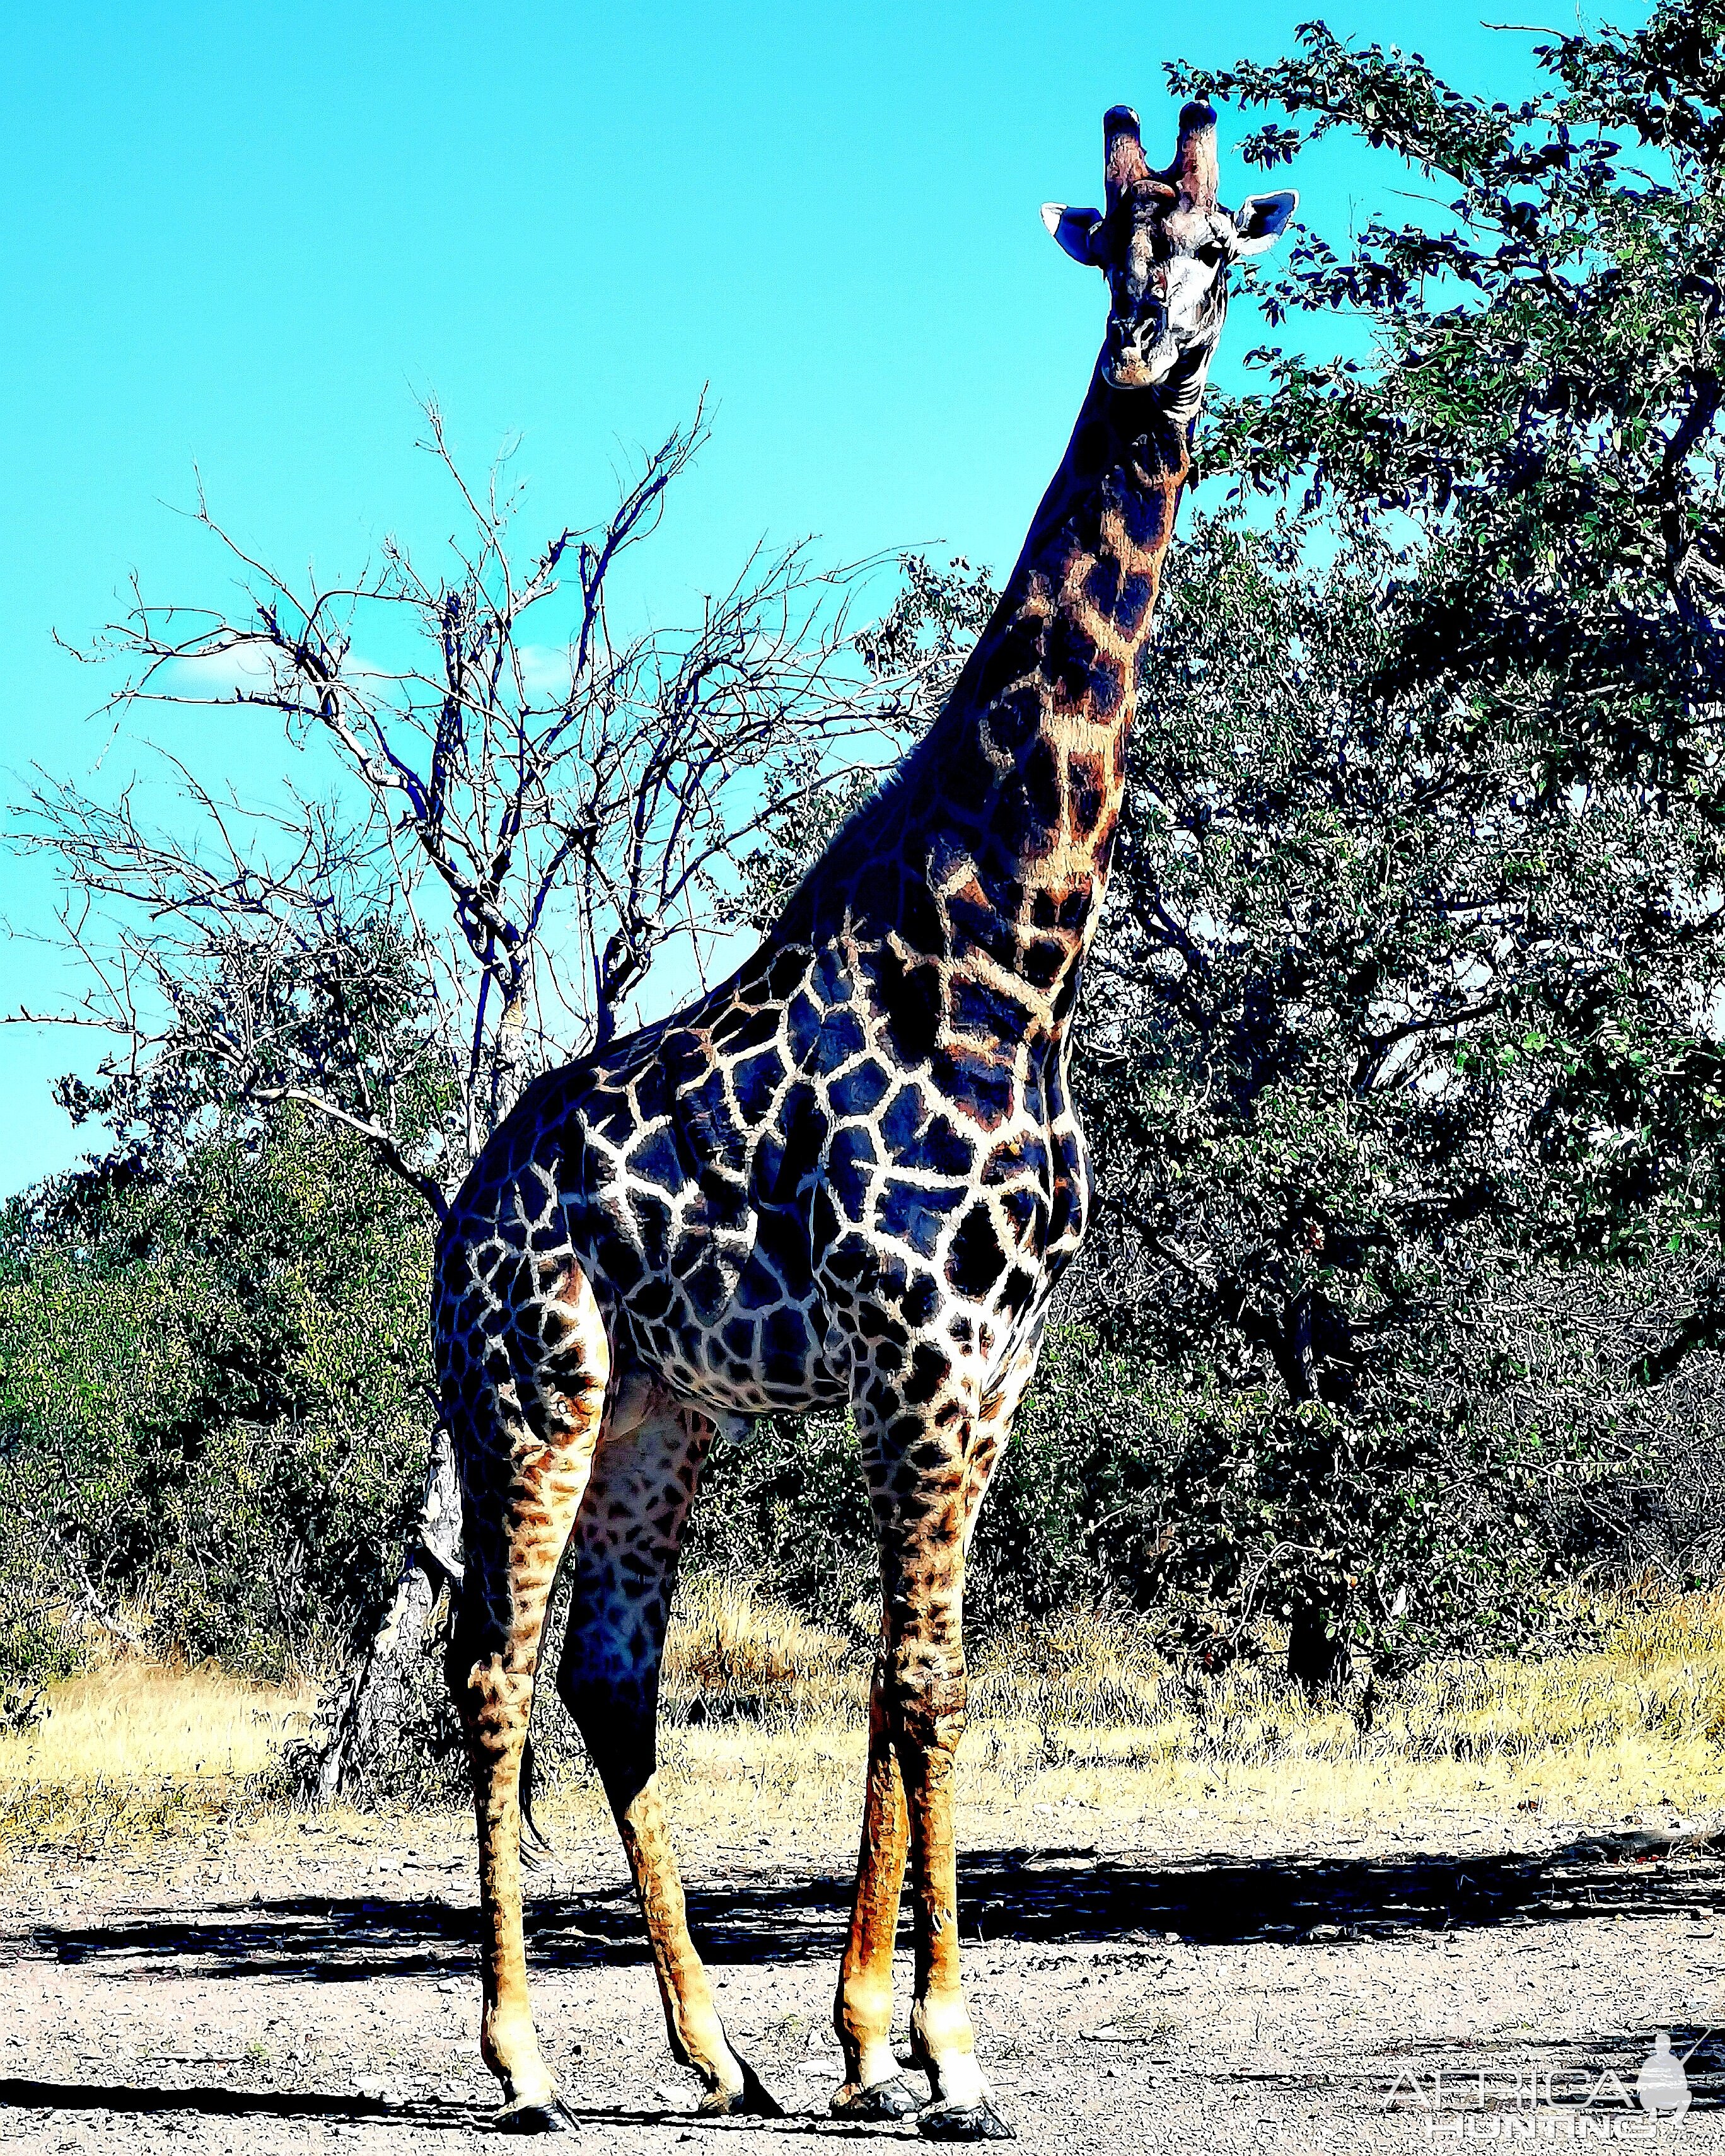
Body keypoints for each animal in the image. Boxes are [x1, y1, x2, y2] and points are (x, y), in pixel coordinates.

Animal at [435, 101, 1294, 2138]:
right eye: (1109, 247)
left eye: (1222, 247)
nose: (1150, 354)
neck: (1013, 948)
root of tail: (452, 1221)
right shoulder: (920, 1353)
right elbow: (917, 1680)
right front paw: (942, 2049)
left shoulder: (991, 1365)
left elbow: (925, 1676)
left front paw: (856, 2041)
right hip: (532, 1389)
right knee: (493, 1671)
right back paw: (520, 2059)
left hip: (660, 1409)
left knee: (611, 1676)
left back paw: (715, 2049)